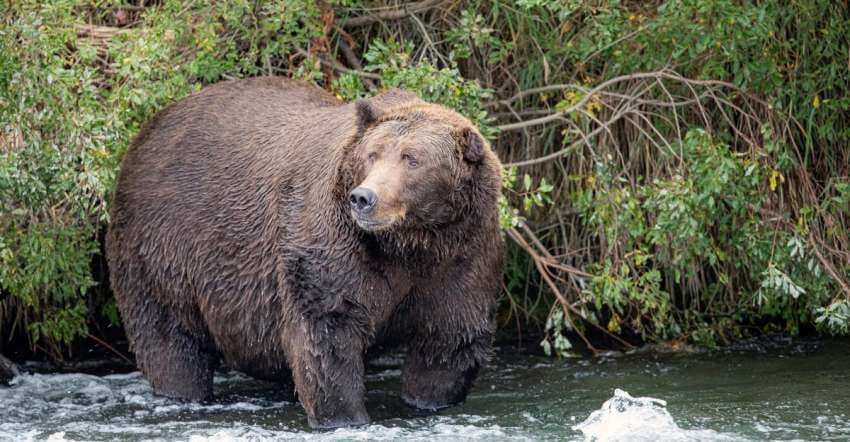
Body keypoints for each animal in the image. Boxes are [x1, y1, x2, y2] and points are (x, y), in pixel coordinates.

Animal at [106, 76, 504, 428]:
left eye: (412, 159)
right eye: (372, 154)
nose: (364, 198)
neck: (410, 243)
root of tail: (148, 129)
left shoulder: (462, 255)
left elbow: (449, 336)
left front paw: (428, 399)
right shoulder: (334, 243)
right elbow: (328, 332)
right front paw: (344, 416)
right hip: (162, 246)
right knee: (169, 337)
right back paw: (181, 390)